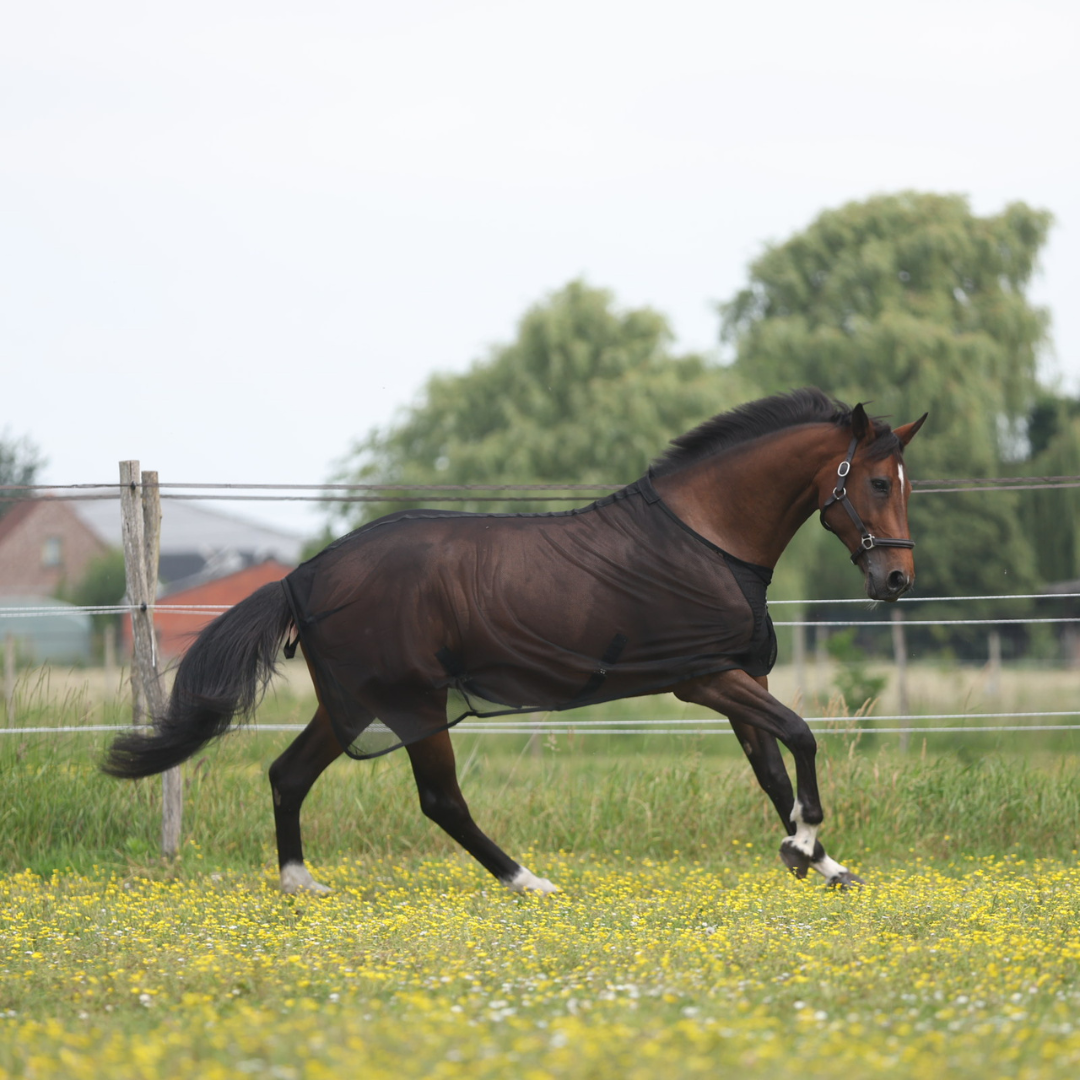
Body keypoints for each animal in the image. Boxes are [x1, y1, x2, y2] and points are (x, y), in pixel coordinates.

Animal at [104, 388, 926, 894]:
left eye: (904, 481)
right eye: (877, 482)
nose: (895, 578)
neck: (707, 537)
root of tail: (304, 574)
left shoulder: (736, 681)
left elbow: (774, 771)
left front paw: (821, 862)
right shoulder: (704, 676)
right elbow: (803, 738)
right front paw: (808, 845)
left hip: (355, 703)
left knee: (287, 774)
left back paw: (302, 883)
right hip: (412, 701)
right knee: (440, 800)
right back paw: (528, 881)